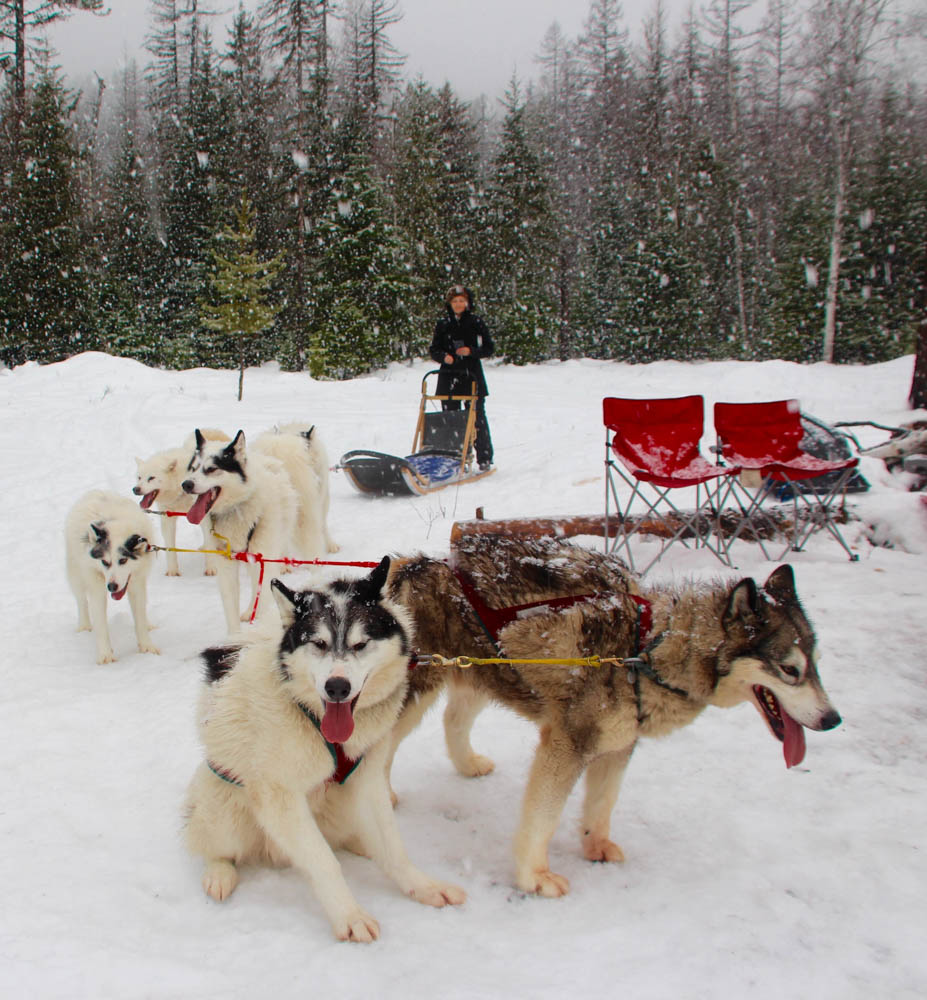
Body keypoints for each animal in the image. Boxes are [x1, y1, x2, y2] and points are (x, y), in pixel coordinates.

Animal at [65, 490, 160, 664]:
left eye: (123, 560)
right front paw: (105, 655)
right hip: (75, 575)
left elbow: (140, 618)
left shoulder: (137, 585)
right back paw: (84, 626)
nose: (112, 586)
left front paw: (147, 646)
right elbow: (101, 624)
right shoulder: (96, 589)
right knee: (81, 601)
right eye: (104, 562)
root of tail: (95, 491)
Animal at [133, 426, 229, 576]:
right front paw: (173, 571)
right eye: (139, 477)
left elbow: (209, 540)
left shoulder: (203, 515)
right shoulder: (167, 518)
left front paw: (211, 567)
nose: (135, 489)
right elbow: (170, 547)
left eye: (151, 478)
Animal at [184, 560, 468, 940]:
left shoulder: (368, 780)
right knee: (213, 845)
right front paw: (349, 915)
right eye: (318, 643)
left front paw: (421, 885)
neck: (315, 716)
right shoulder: (280, 796)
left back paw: (361, 843)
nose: (337, 687)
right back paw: (219, 872)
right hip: (225, 808)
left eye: (361, 644)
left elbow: (393, 847)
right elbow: (323, 861)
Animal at [384, 540, 840, 900]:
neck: (646, 648)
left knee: (453, 718)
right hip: (416, 690)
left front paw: (595, 845)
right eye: (790, 670)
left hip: (486, 672)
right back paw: (383, 794)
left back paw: (467, 764)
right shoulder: (567, 744)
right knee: (386, 744)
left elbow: (603, 801)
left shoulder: (620, 743)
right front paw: (535, 876)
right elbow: (543, 817)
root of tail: (412, 565)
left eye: (817, 664)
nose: (833, 719)